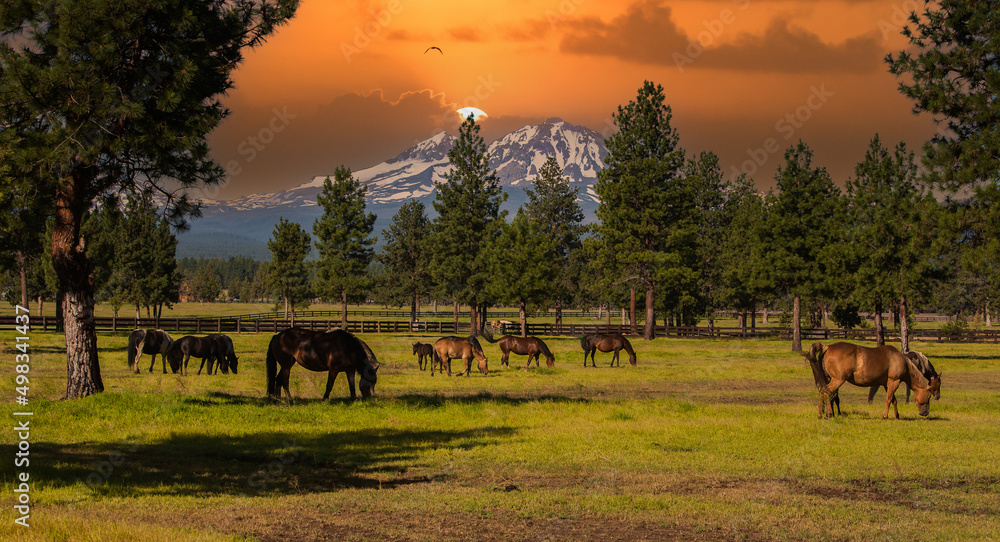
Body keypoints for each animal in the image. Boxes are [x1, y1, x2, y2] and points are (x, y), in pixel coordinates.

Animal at [800, 342, 932, 422]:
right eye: (929, 396)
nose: (925, 413)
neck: (901, 360)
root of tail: (827, 347)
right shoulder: (894, 381)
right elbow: (889, 399)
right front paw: (885, 416)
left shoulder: (887, 384)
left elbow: (893, 400)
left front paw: (897, 415)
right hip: (837, 380)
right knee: (827, 392)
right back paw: (829, 414)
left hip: (829, 379)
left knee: (823, 392)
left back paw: (821, 414)